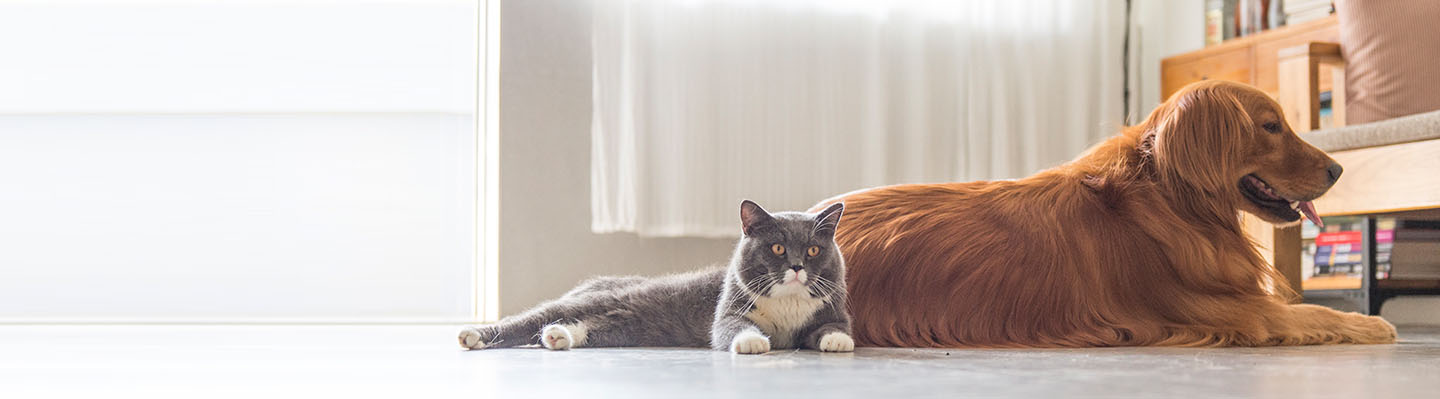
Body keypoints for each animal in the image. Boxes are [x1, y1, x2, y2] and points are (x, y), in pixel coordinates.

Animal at [455, 200, 846, 352]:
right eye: (777, 248)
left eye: (813, 250)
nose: (796, 267)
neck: (788, 302)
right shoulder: (729, 311)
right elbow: (732, 328)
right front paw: (752, 342)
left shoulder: (832, 312)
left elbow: (832, 328)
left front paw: (837, 342)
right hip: (597, 301)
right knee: (528, 319)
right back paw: (473, 335)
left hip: (621, 325)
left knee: (584, 326)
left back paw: (556, 336)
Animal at [823, 79, 1393, 344]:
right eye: (1271, 126)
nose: (1339, 170)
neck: (1172, 198)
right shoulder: (1233, 312)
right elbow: (1316, 312)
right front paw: (1373, 324)